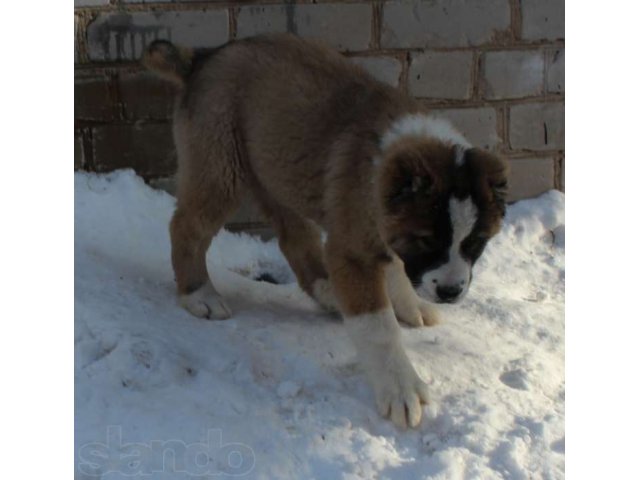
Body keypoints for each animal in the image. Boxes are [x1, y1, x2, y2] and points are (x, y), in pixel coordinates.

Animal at [144, 34, 510, 432]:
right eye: (426, 239)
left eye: (476, 242)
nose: (450, 291)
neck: (380, 172)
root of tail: (202, 57)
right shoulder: (352, 251)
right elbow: (378, 329)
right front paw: (401, 389)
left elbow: (396, 269)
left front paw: (411, 306)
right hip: (220, 169)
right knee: (187, 227)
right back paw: (199, 294)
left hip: (277, 172)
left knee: (294, 237)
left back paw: (329, 291)